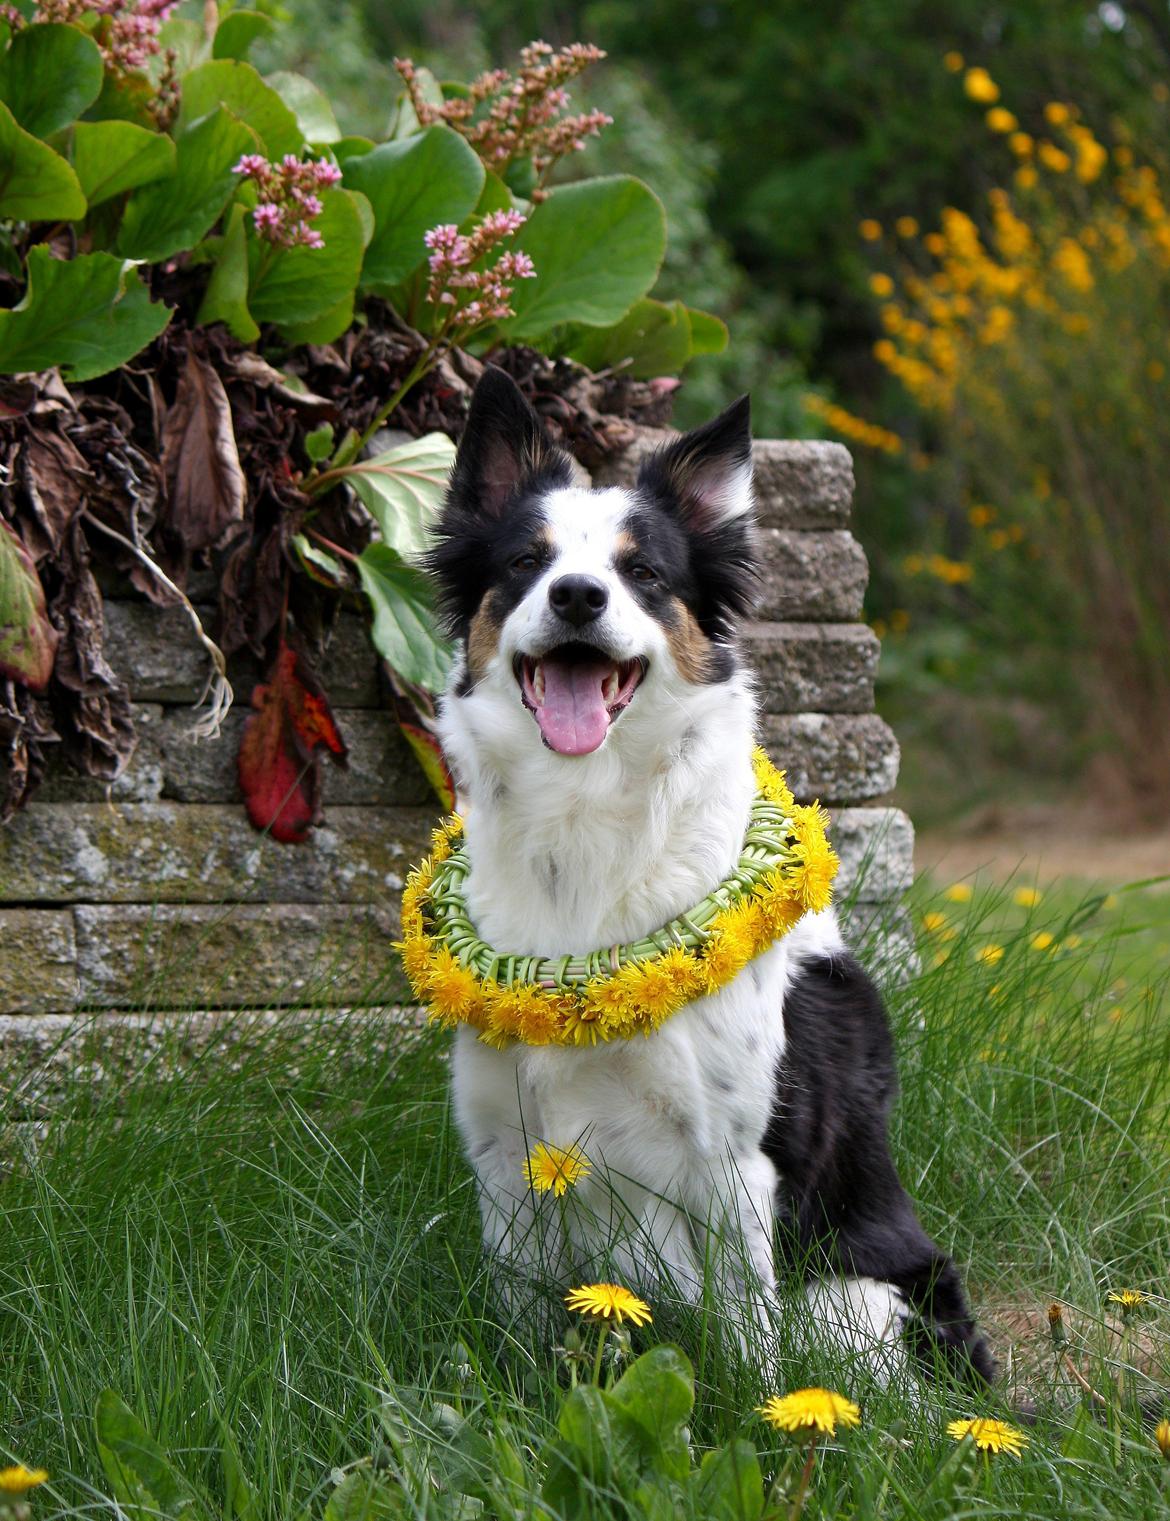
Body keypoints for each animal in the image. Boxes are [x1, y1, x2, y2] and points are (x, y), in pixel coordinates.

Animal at [426, 361, 991, 1387]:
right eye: (526, 561)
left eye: (642, 573)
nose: (577, 596)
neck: (586, 820)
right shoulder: (503, 1146)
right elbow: (518, 1318)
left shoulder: (733, 1157)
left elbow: (745, 1341)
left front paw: (754, 1419)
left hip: (863, 1299)